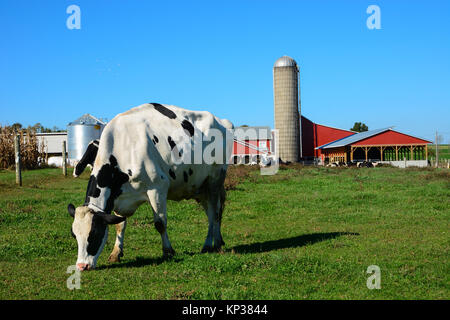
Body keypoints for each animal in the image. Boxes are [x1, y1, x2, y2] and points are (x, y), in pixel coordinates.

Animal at [69, 102, 236, 270]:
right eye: (74, 235)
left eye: (94, 233)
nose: (82, 266)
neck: (125, 146)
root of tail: (223, 122)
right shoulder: (118, 196)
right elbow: (120, 224)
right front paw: (116, 253)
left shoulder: (157, 188)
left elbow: (160, 223)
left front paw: (168, 251)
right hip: (200, 187)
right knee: (211, 212)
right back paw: (213, 242)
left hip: (215, 180)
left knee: (215, 212)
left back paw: (213, 244)